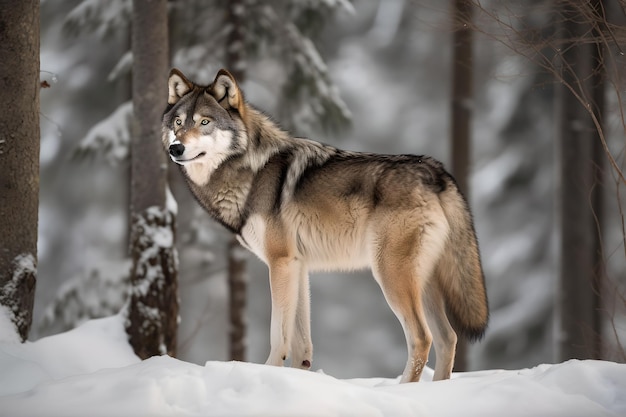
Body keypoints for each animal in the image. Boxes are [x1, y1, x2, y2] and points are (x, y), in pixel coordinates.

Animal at [161, 67, 488, 380]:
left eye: (205, 122)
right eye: (178, 122)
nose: (176, 148)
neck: (251, 169)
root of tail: (436, 171)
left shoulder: (280, 263)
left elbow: (278, 335)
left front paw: (268, 372)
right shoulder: (298, 266)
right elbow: (301, 343)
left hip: (391, 276)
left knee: (422, 338)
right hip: (425, 283)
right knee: (448, 338)